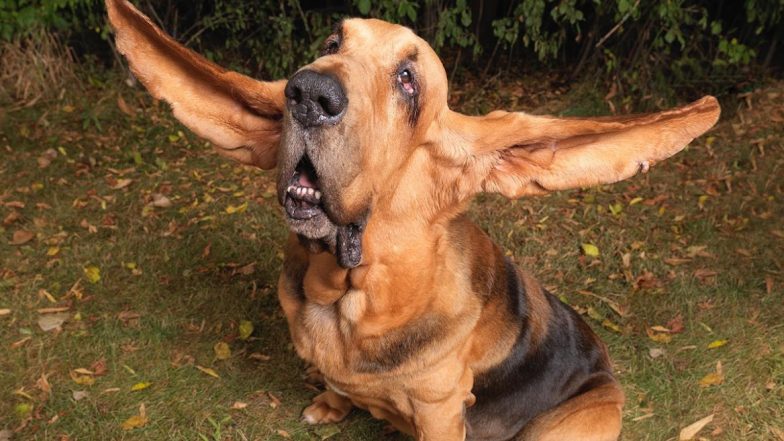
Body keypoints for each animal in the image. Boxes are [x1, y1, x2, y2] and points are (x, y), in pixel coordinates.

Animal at [105, 1, 724, 438]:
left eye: (408, 79)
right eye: (332, 42)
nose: (308, 94)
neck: (345, 293)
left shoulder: (441, 410)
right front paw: (329, 405)